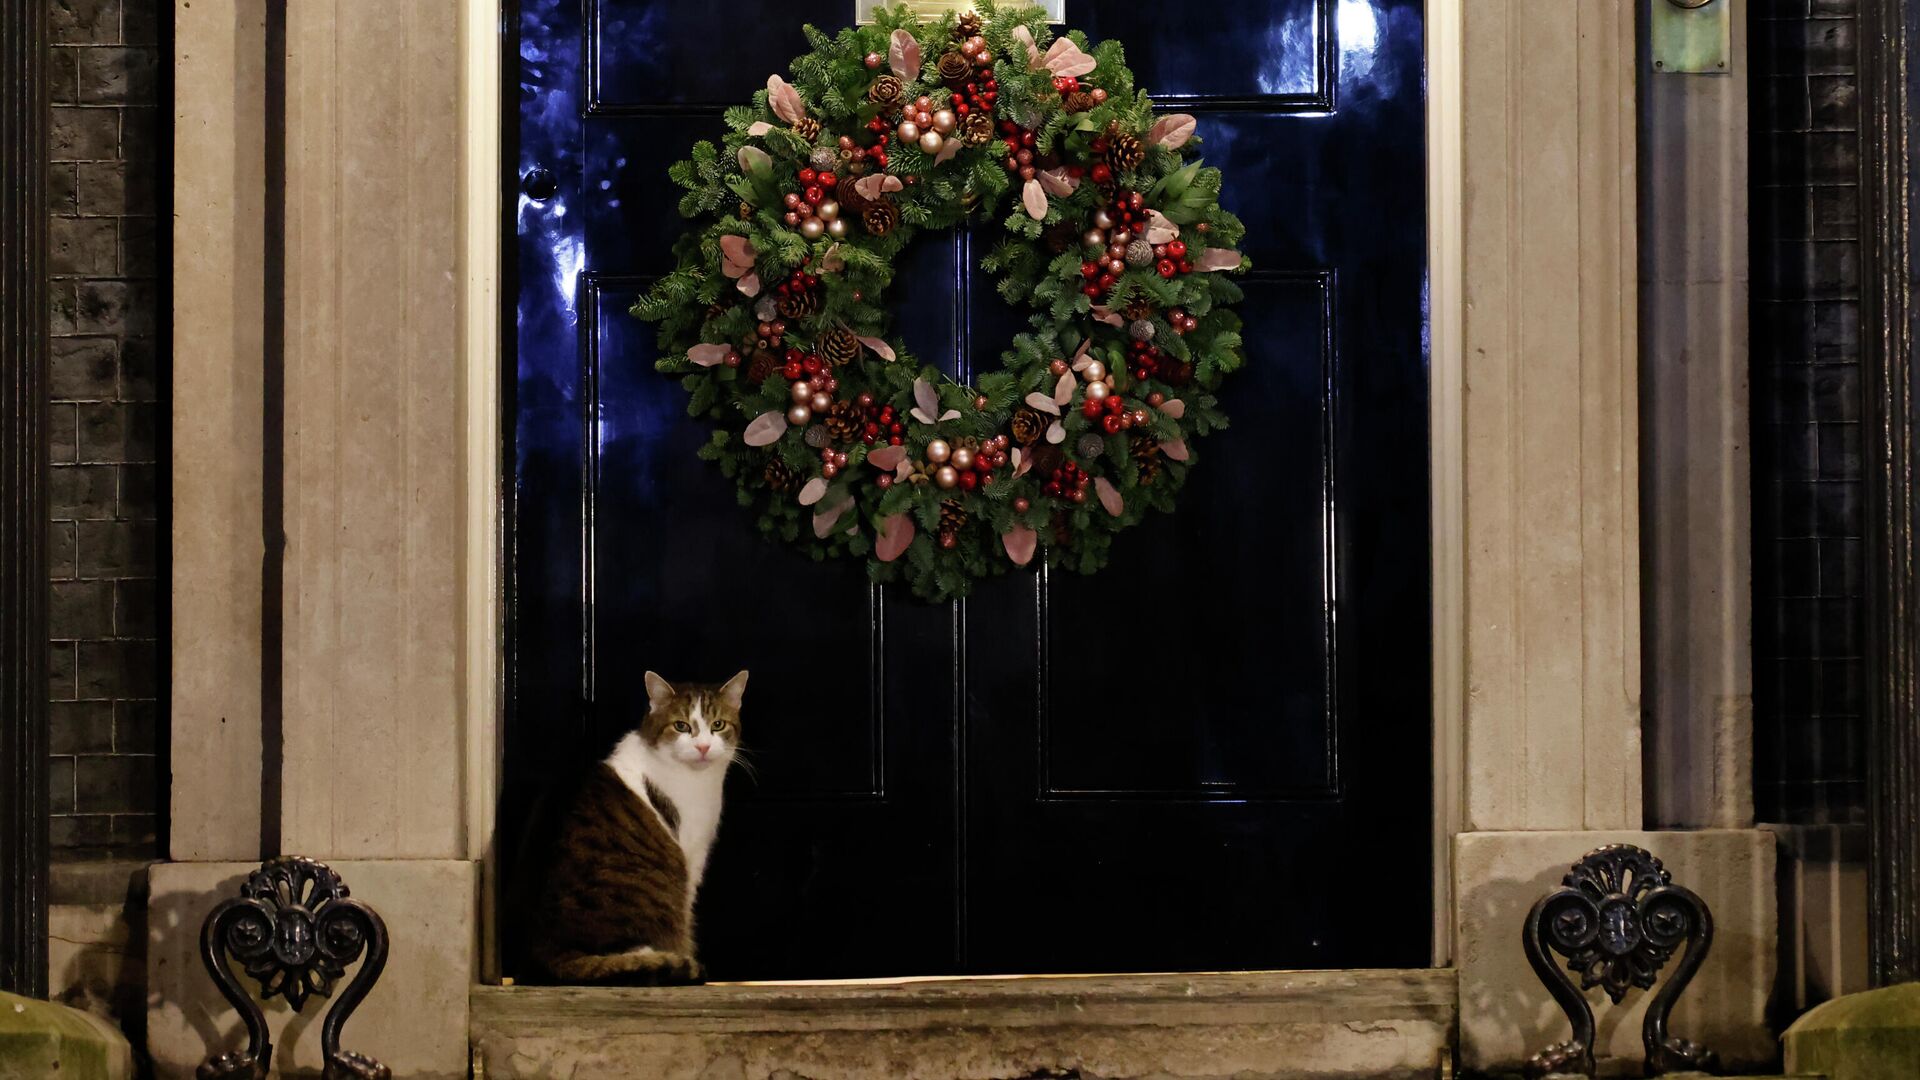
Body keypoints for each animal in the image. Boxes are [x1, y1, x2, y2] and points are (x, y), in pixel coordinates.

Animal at [529, 664, 744, 983]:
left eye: (717, 725)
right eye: (681, 726)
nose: (704, 746)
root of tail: (553, 953)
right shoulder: (692, 856)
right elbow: (686, 911)